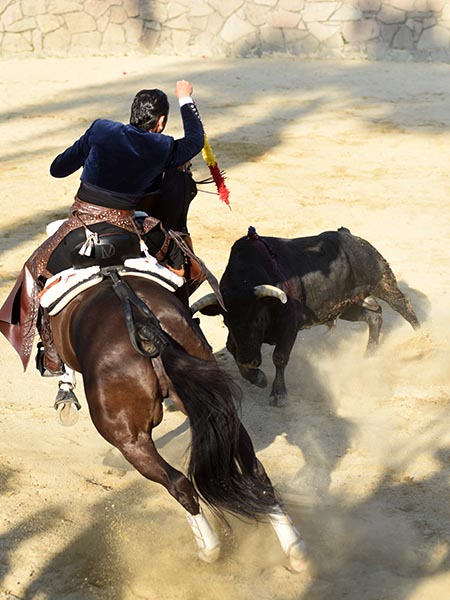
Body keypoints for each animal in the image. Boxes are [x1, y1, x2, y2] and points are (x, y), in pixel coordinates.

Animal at [50, 274, 310, 572]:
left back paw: (208, 548)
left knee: (178, 482)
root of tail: (146, 325)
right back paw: (295, 548)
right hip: (220, 407)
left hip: (129, 439)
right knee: (255, 470)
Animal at [192, 227, 420, 406]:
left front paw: (278, 395)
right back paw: (369, 355)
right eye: (226, 322)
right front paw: (257, 377)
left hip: (382, 282)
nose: (248, 360)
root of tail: (349, 235)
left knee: (404, 305)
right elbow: (231, 347)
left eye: (257, 319)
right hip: (344, 305)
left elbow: (280, 357)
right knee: (375, 316)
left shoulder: (290, 326)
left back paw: (422, 339)